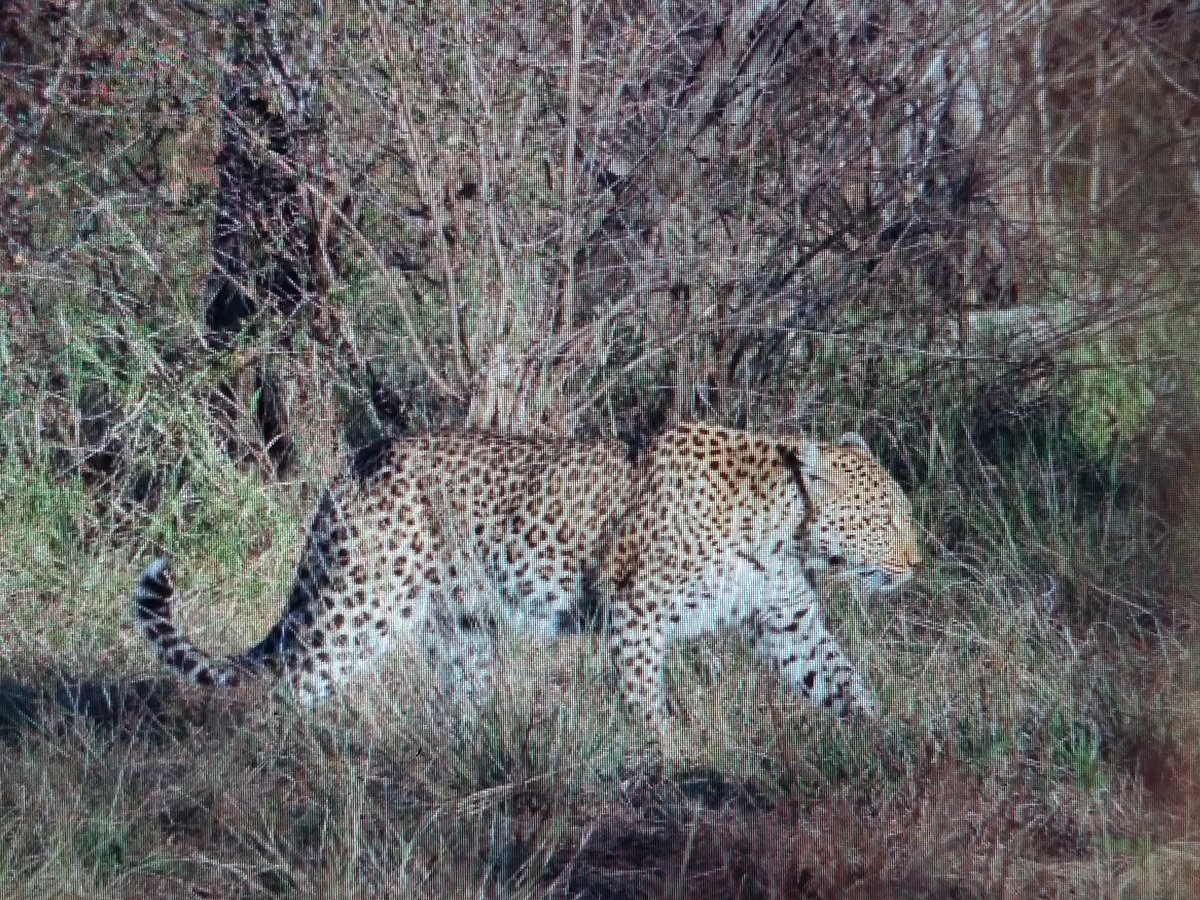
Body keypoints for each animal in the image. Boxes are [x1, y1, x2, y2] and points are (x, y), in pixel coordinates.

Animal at [133, 423, 921, 729]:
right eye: (884, 516)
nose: (917, 560)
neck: (786, 531)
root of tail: (353, 466)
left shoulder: (787, 618)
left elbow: (841, 679)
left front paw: (888, 743)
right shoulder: (637, 609)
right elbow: (644, 696)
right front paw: (661, 754)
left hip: (463, 629)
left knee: (457, 702)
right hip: (361, 604)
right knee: (295, 681)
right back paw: (289, 760)